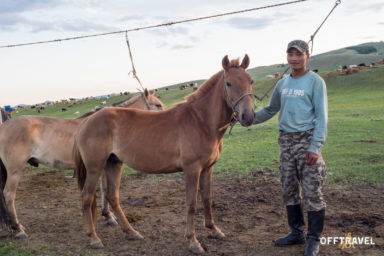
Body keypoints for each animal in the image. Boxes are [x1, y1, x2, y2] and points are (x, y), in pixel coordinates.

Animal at [0, 89, 168, 239]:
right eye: (157, 105)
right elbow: (105, 190)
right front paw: (109, 217)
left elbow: (104, 189)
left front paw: (108, 216)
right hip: (15, 170)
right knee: (8, 195)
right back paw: (18, 229)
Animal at [74, 54, 256, 254]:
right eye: (229, 83)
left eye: (250, 81)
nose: (248, 116)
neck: (201, 121)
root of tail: (86, 121)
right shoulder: (192, 170)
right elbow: (192, 204)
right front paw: (193, 241)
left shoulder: (208, 168)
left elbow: (207, 199)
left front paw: (214, 230)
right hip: (95, 168)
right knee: (87, 197)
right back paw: (94, 238)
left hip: (114, 164)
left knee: (112, 197)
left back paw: (131, 232)